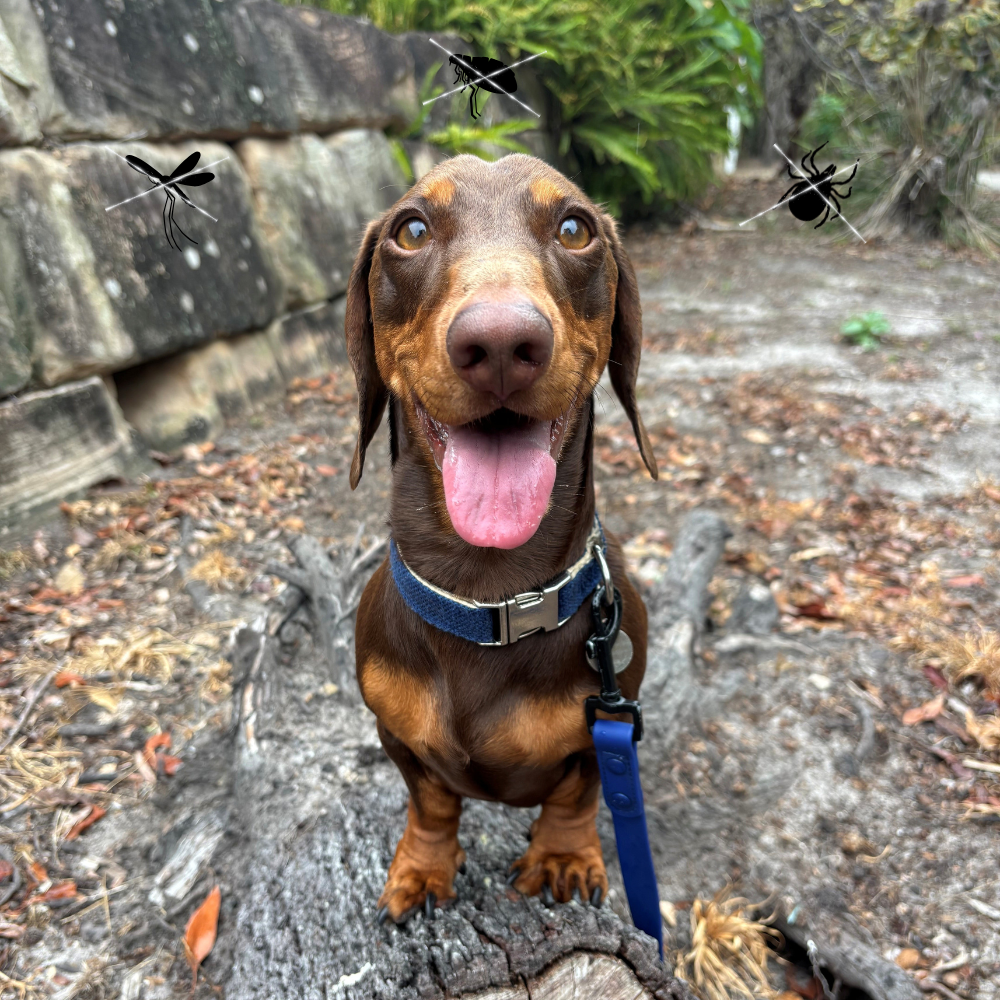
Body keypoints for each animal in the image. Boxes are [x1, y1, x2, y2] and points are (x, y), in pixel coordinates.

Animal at [346, 153, 658, 924]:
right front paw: (422, 867)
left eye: (575, 227)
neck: (490, 598)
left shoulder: (607, 725)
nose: (498, 345)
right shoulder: (394, 735)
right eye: (411, 229)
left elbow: (577, 793)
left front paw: (563, 857)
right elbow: (431, 803)